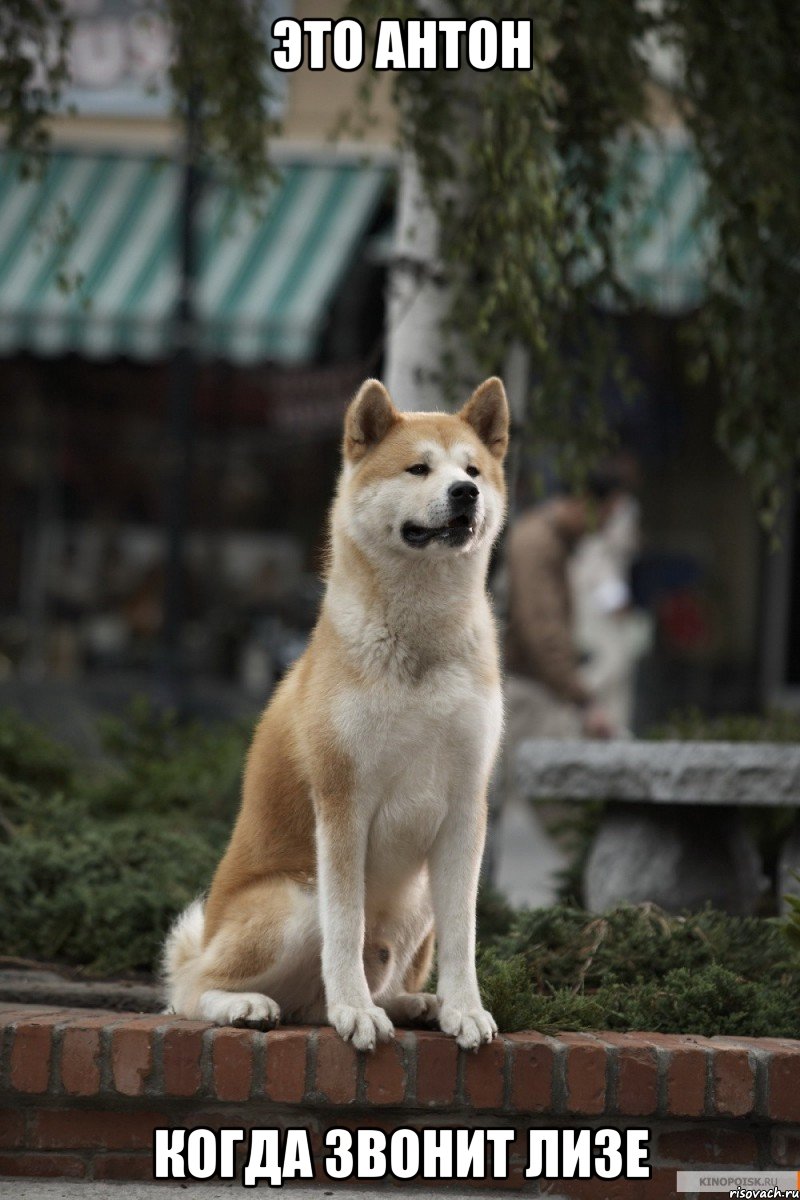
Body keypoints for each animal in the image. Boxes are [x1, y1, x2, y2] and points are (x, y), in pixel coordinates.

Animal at [164, 374, 506, 1051]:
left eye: (473, 469)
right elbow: (345, 928)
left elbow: (465, 934)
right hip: (296, 900)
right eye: (419, 468)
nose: (466, 493)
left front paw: (464, 1009)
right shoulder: (344, 801)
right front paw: (355, 1011)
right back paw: (251, 1004)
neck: (420, 644)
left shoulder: (465, 806)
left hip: (416, 900)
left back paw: (413, 1003)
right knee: (189, 990)